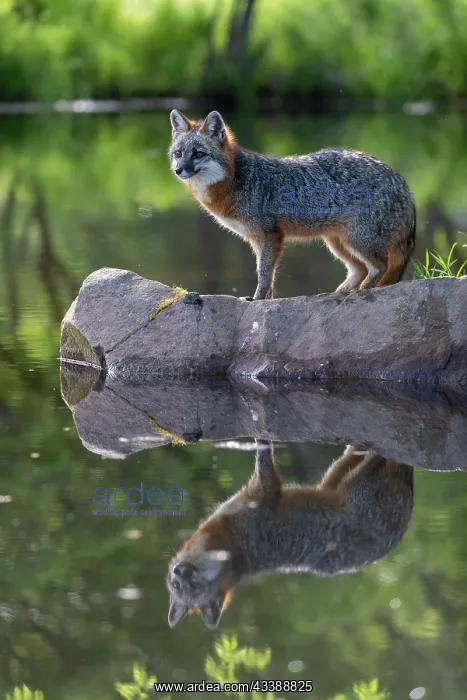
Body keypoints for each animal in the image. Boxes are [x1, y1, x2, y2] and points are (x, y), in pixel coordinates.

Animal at [166, 441, 414, 628]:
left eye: (187, 584)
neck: (235, 552)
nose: (178, 572)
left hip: (339, 479)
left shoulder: (262, 496)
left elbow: (264, 459)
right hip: (342, 483)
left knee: (362, 457)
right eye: (180, 586)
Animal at [168, 110, 416, 300]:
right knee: (360, 269)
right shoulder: (256, 239)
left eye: (198, 154)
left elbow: (264, 274)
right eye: (178, 153)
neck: (238, 179)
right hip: (337, 243)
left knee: (380, 267)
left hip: (357, 241)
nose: (178, 170)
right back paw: (337, 293)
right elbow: (267, 275)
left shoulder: (270, 236)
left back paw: (361, 291)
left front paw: (257, 299)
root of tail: (402, 182)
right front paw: (265, 300)